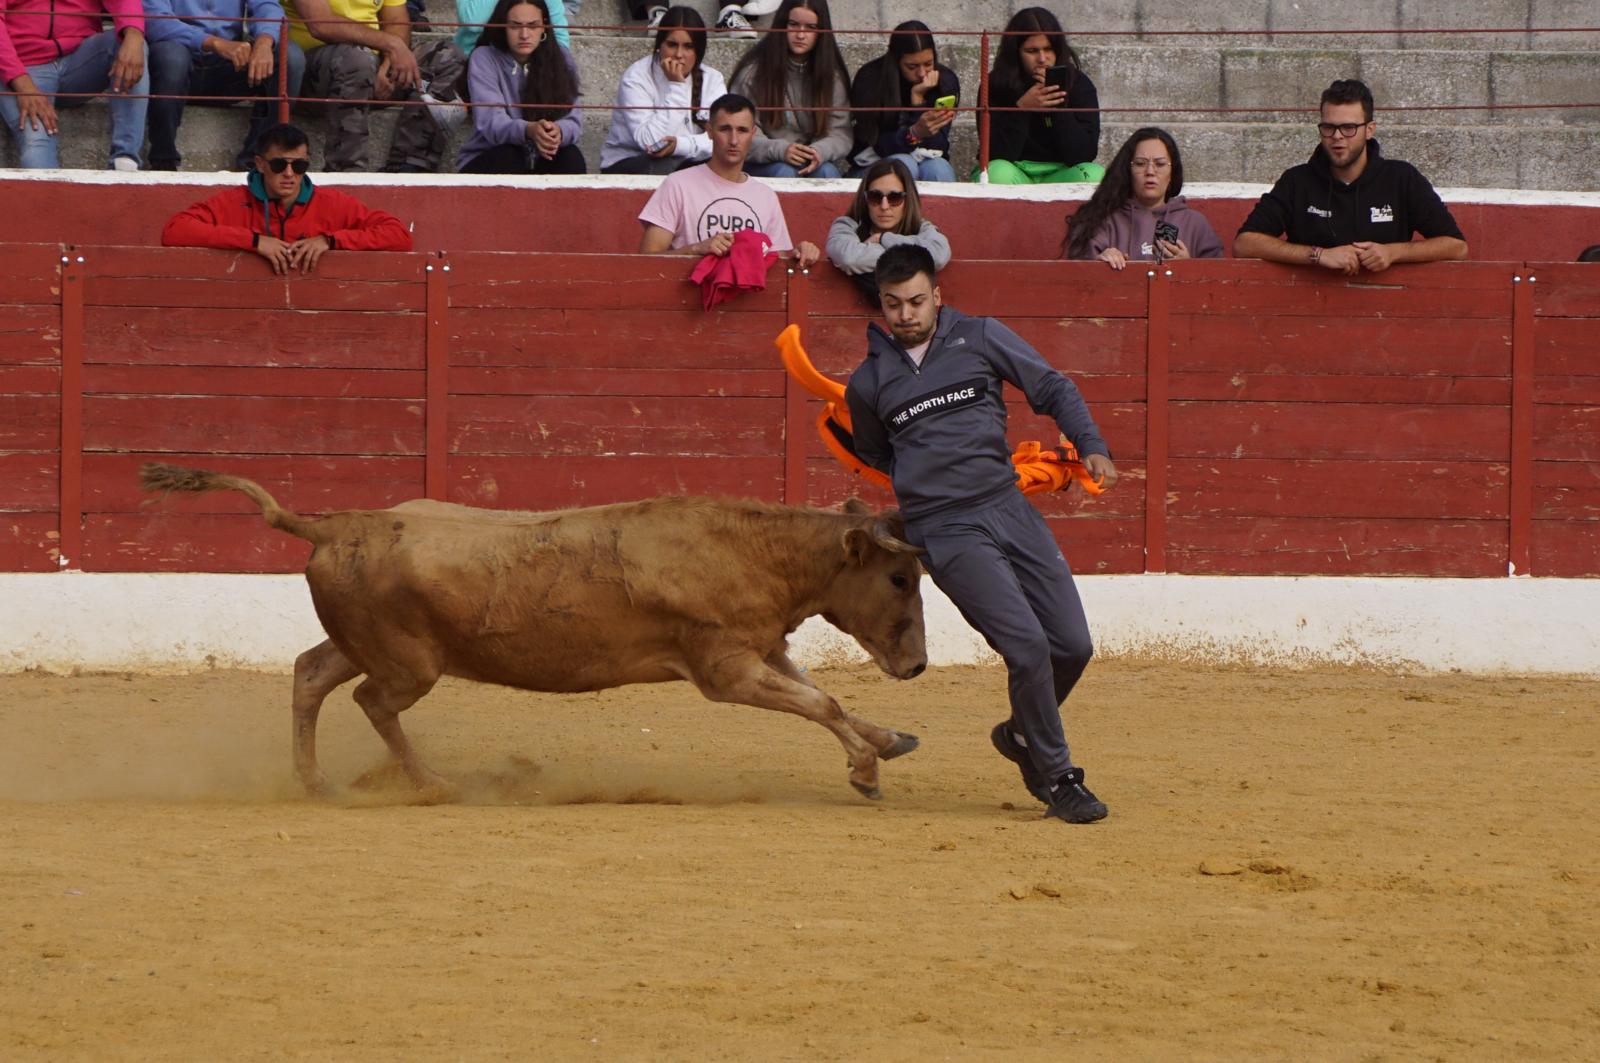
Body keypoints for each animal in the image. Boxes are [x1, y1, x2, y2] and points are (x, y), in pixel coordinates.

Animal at [147, 461, 934, 800]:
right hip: (409, 663)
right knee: (373, 701)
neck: (756, 548)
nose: (919, 666)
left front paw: (889, 741)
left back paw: (315, 782)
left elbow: (824, 697)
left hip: (365, 643)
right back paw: (435, 784)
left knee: (311, 673)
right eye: (901, 577)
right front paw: (865, 769)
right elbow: (821, 701)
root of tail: (336, 524)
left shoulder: (763, 648)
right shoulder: (726, 669)